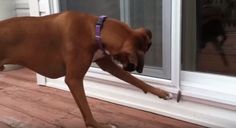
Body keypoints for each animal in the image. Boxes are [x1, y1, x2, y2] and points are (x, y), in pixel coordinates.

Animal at [0, 11, 172, 128]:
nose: (134, 68)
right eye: (133, 58)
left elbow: (135, 81)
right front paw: (99, 125)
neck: (95, 29)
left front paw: (162, 93)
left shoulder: (107, 64)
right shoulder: (74, 79)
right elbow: (86, 110)